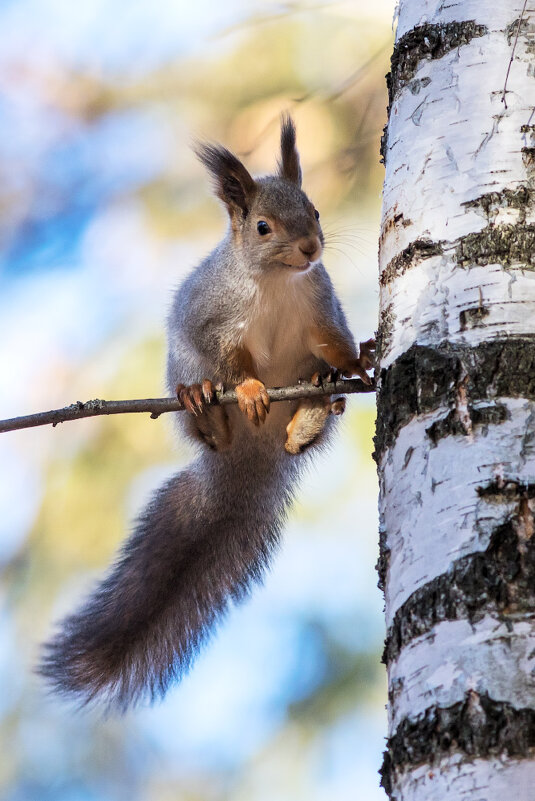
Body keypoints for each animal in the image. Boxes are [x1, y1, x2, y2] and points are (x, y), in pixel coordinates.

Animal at [39, 114, 374, 708]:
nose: (312, 248)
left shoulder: (320, 309)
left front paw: (359, 361)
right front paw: (248, 390)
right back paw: (206, 411)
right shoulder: (212, 321)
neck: (276, 283)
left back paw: (311, 408)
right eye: (263, 227)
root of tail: (246, 463)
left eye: (314, 210)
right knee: (205, 421)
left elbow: (336, 345)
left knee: (313, 416)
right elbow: (231, 362)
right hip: (183, 373)